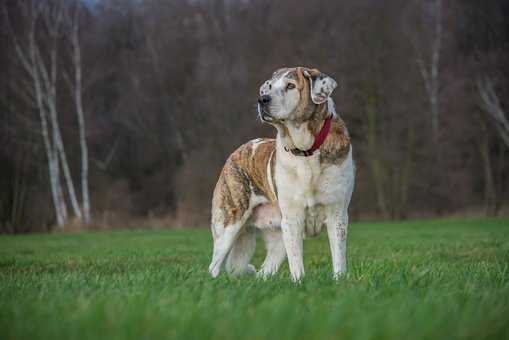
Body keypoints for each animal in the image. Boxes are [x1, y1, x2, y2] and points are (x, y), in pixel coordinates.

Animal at [206, 66, 354, 282]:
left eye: (290, 86)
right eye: (268, 87)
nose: (262, 99)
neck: (306, 151)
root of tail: (237, 152)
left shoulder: (337, 214)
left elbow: (339, 259)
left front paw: (339, 282)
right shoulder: (292, 219)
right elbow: (296, 262)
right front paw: (299, 283)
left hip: (277, 239)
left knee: (264, 271)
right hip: (228, 225)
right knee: (214, 266)